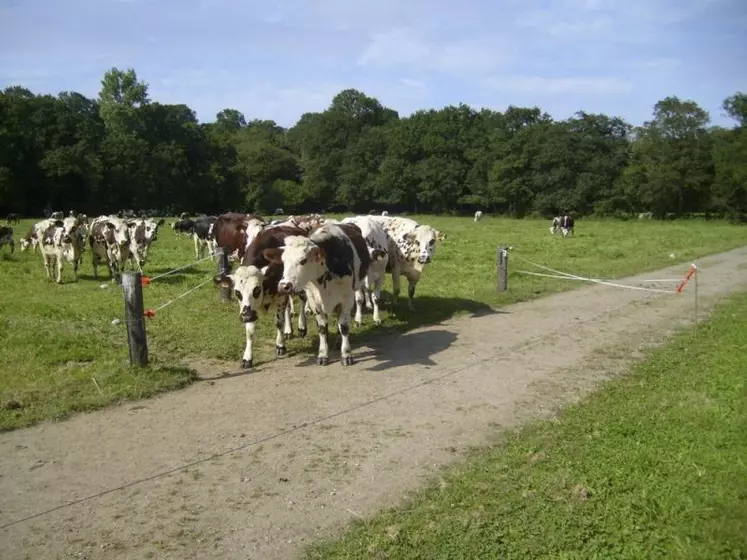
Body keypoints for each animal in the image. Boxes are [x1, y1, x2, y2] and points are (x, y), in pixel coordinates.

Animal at [215, 225, 312, 370]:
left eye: (256, 289)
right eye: (237, 293)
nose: (246, 317)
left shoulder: (279, 297)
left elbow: (279, 322)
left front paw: (280, 345)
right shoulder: (250, 309)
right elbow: (249, 331)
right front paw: (247, 357)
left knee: (302, 300)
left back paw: (301, 327)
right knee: (288, 307)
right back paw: (288, 331)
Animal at [264, 223, 372, 368]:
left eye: (303, 260)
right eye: (283, 261)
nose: (284, 286)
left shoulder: (346, 299)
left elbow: (344, 327)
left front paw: (346, 354)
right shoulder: (314, 302)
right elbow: (322, 328)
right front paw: (323, 354)